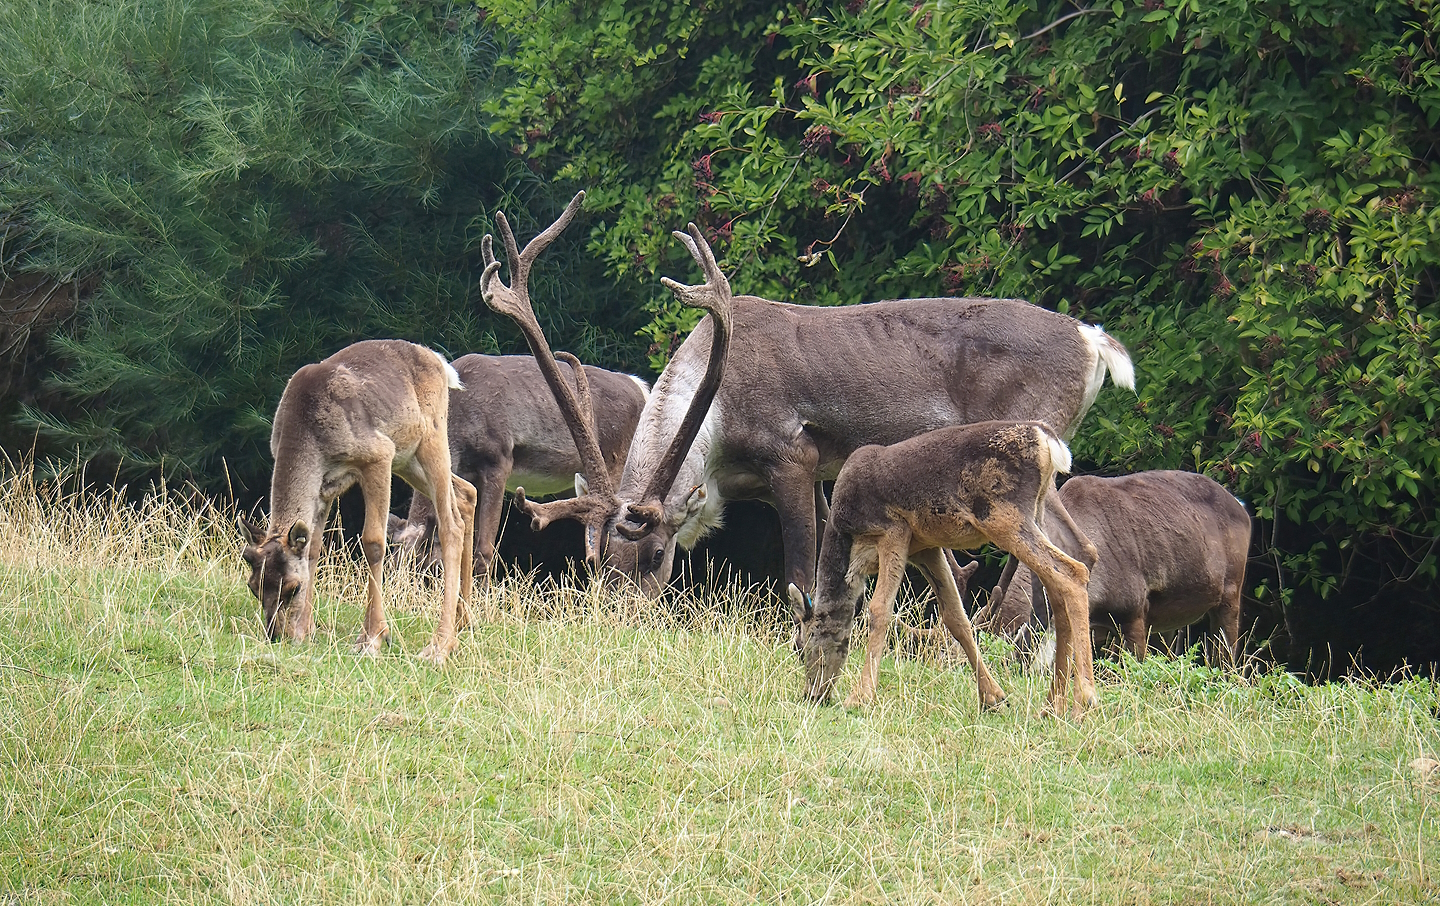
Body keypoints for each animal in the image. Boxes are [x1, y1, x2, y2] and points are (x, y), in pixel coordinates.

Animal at [238, 339, 478, 665]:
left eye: (292, 587)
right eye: (253, 587)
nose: (277, 635)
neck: (309, 436)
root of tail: (439, 361)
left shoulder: (378, 454)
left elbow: (373, 542)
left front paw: (373, 638)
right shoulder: (325, 488)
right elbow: (313, 548)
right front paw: (305, 631)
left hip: (431, 436)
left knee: (450, 524)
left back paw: (440, 646)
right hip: (408, 460)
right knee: (466, 494)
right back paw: (465, 620)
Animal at [386, 353, 648, 579]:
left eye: (416, 564)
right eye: (392, 562)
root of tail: (640, 388)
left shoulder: (499, 459)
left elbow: (484, 548)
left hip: (617, 465)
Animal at [477, 193, 1134, 620]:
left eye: (659, 553)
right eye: (599, 562)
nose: (622, 621)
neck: (719, 428)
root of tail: (1092, 338)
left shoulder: (793, 454)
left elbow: (800, 577)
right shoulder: (804, 478)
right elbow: (829, 574)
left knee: (1043, 564)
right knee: (1080, 550)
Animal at [795, 420, 1099, 717]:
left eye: (803, 645)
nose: (812, 695)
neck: (850, 545)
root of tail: (1048, 440)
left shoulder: (892, 530)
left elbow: (879, 609)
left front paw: (859, 697)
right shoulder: (925, 548)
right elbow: (956, 617)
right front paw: (993, 697)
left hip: (1003, 513)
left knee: (1072, 572)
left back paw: (1084, 698)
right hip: (1037, 511)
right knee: (1058, 588)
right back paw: (1052, 705)